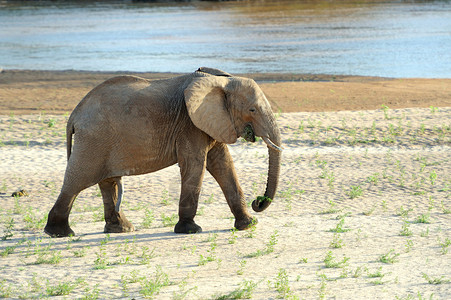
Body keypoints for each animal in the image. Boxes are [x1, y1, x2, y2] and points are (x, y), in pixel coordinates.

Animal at [43, 67, 282, 237]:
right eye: (252, 110)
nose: (258, 201)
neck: (222, 80)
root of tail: (74, 114)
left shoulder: (212, 122)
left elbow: (223, 165)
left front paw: (249, 225)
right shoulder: (190, 125)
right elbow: (196, 165)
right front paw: (190, 230)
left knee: (107, 183)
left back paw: (122, 229)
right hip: (93, 140)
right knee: (77, 181)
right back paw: (60, 233)